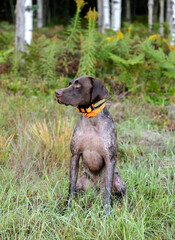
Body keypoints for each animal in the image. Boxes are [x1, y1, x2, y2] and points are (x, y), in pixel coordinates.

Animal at [55, 76, 125, 213]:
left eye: (78, 85)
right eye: (70, 83)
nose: (57, 92)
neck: (91, 119)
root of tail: (96, 192)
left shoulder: (110, 159)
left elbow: (108, 190)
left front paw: (106, 212)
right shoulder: (75, 155)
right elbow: (71, 187)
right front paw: (69, 208)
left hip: (119, 183)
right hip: (81, 181)